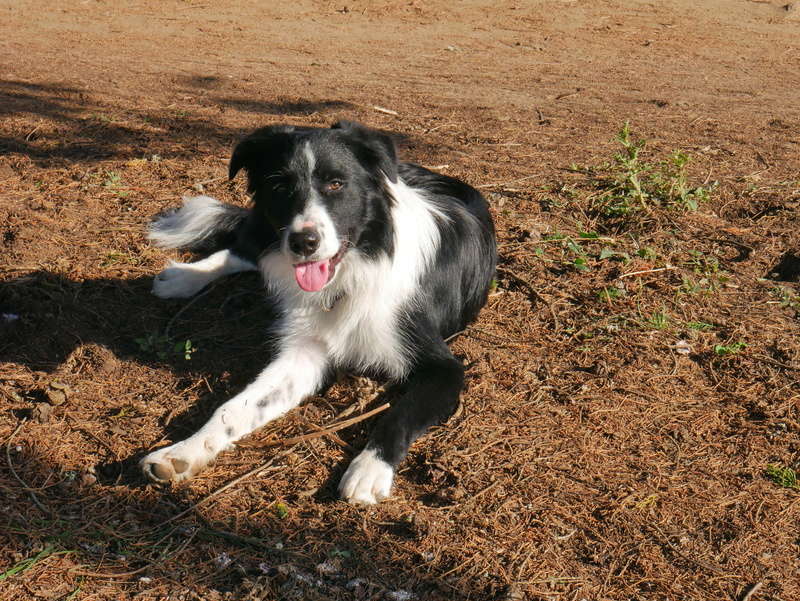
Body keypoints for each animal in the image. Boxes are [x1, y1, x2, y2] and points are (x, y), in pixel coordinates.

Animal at [141, 120, 496, 502]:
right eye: (280, 186)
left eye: (337, 184)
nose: (303, 242)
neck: (353, 270)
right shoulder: (304, 353)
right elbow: (232, 408)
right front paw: (182, 451)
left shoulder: (444, 369)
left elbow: (399, 414)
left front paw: (369, 469)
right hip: (269, 233)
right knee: (245, 249)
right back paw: (183, 277)